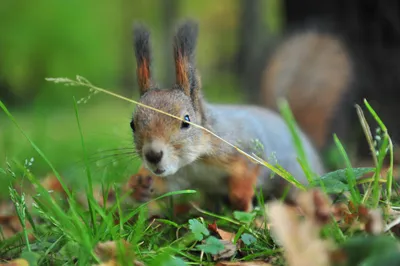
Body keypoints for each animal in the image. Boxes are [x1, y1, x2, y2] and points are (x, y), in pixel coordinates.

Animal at [130, 19, 326, 213]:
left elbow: (250, 168)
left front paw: (241, 200)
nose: (153, 155)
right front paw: (138, 186)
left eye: (186, 121)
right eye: (132, 124)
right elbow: (167, 184)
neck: (196, 161)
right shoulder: (178, 173)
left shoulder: (247, 145)